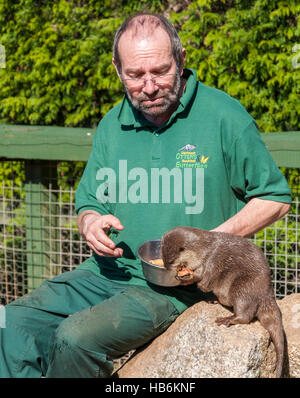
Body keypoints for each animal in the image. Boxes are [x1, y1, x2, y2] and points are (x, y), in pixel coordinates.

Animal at [161, 225, 288, 378]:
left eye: (171, 261)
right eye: (163, 258)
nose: (166, 268)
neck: (204, 249)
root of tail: (268, 293)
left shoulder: (212, 260)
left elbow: (204, 278)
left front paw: (189, 277)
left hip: (243, 287)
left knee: (245, 315)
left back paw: (228, 319)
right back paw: (213, 299)